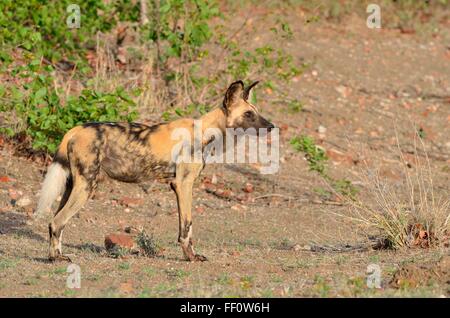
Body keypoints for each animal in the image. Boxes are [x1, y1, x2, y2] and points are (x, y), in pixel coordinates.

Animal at [35, 80, 274, 262]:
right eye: (249, 114)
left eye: (257, 112)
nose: (271, 126)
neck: (206, 131)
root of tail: (76, 129)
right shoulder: (183, 184)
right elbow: (187, 227)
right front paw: (190, 257)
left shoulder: (178, 185)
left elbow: (186, 228)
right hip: (86, 187)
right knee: (57, 222)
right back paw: (56, 258)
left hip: (71, 187)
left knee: (55, 221)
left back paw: (54, 255)